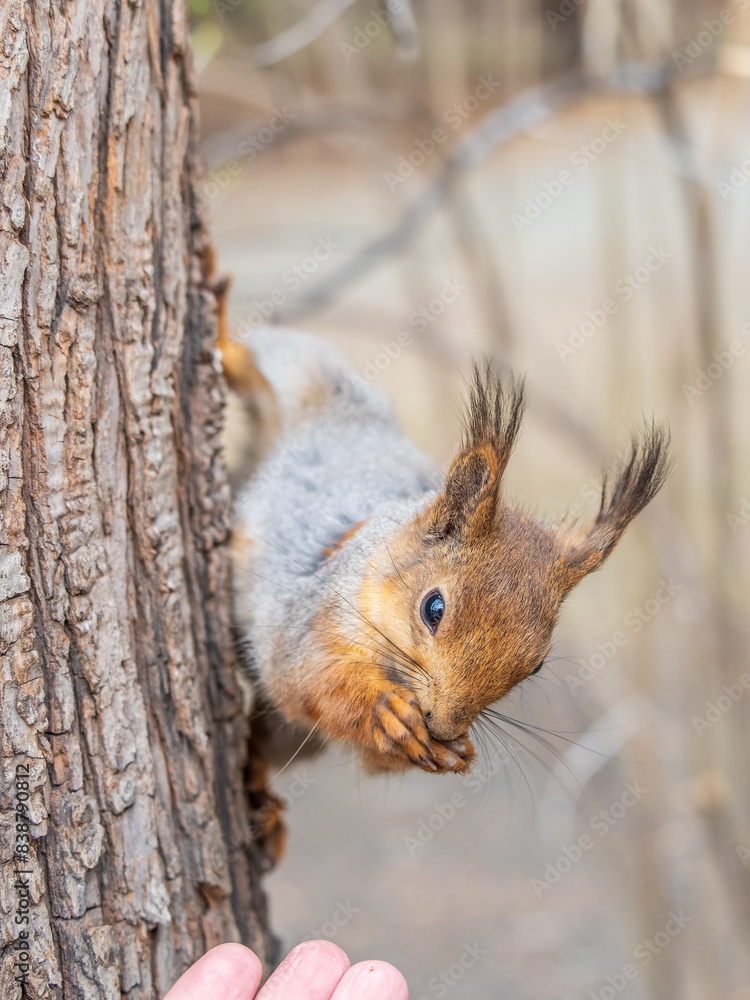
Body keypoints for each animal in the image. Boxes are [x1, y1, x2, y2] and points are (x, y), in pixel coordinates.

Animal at [216, 298, 671, 779]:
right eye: (433, 609)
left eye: (537, 665)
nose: (443, 725)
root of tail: (349, 420)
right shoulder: (314, 618)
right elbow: (307, 677)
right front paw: (386, 712)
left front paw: (454, 750)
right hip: (299, 371)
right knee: (260, 360)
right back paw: (224, 338)